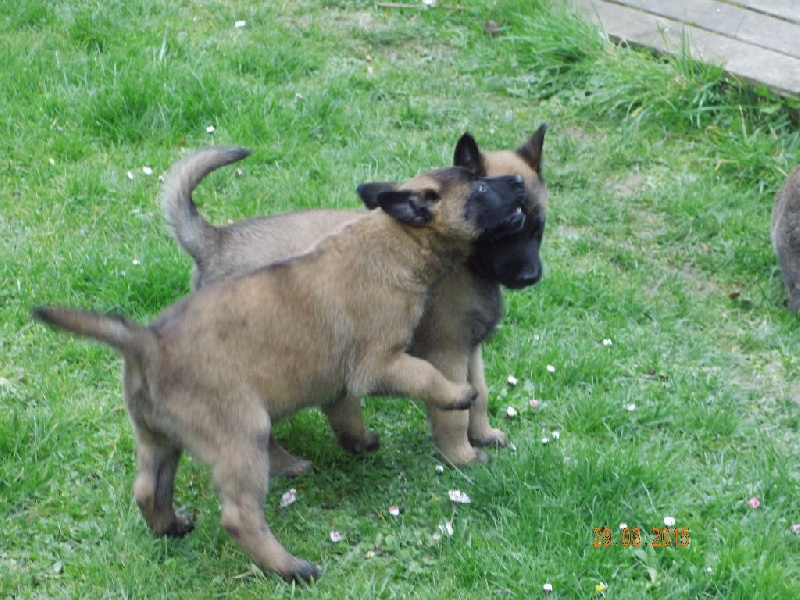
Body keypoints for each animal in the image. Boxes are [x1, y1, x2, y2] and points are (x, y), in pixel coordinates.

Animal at [34, 157, 528, 583]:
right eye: (481, 187)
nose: (520, 182)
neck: (396, 239)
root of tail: (146, 342)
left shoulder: (339, 379)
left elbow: (345, 412)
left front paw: (360, 441)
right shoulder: (378, 364)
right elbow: (426, 377)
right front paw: (457, 395)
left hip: (158, 437)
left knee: (146, 489)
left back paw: (171, 527)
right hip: (241, 433)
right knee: (239, 515)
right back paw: (291, 567)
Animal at [162, 127, 547, 470]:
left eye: (539, 228)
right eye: (481, 187)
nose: (531, 277)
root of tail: (215, 242)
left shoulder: (471, 348)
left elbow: (480, 393)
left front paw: (482, 435)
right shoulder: (445, 351)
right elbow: (451, 407)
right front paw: (461, 456)